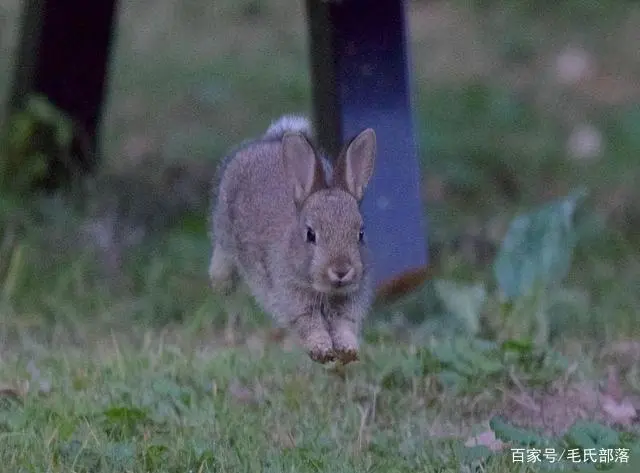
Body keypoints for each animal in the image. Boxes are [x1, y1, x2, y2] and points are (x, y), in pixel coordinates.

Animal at [210, 115, 378, 366]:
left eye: (360, 233)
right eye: (310, 234)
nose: (341, 271)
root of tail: (270, 140)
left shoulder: (349, 304)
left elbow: (344, 326)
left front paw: (348, 351)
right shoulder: (293, 299)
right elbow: (310, 325)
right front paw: (322, 351)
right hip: (225, 242)